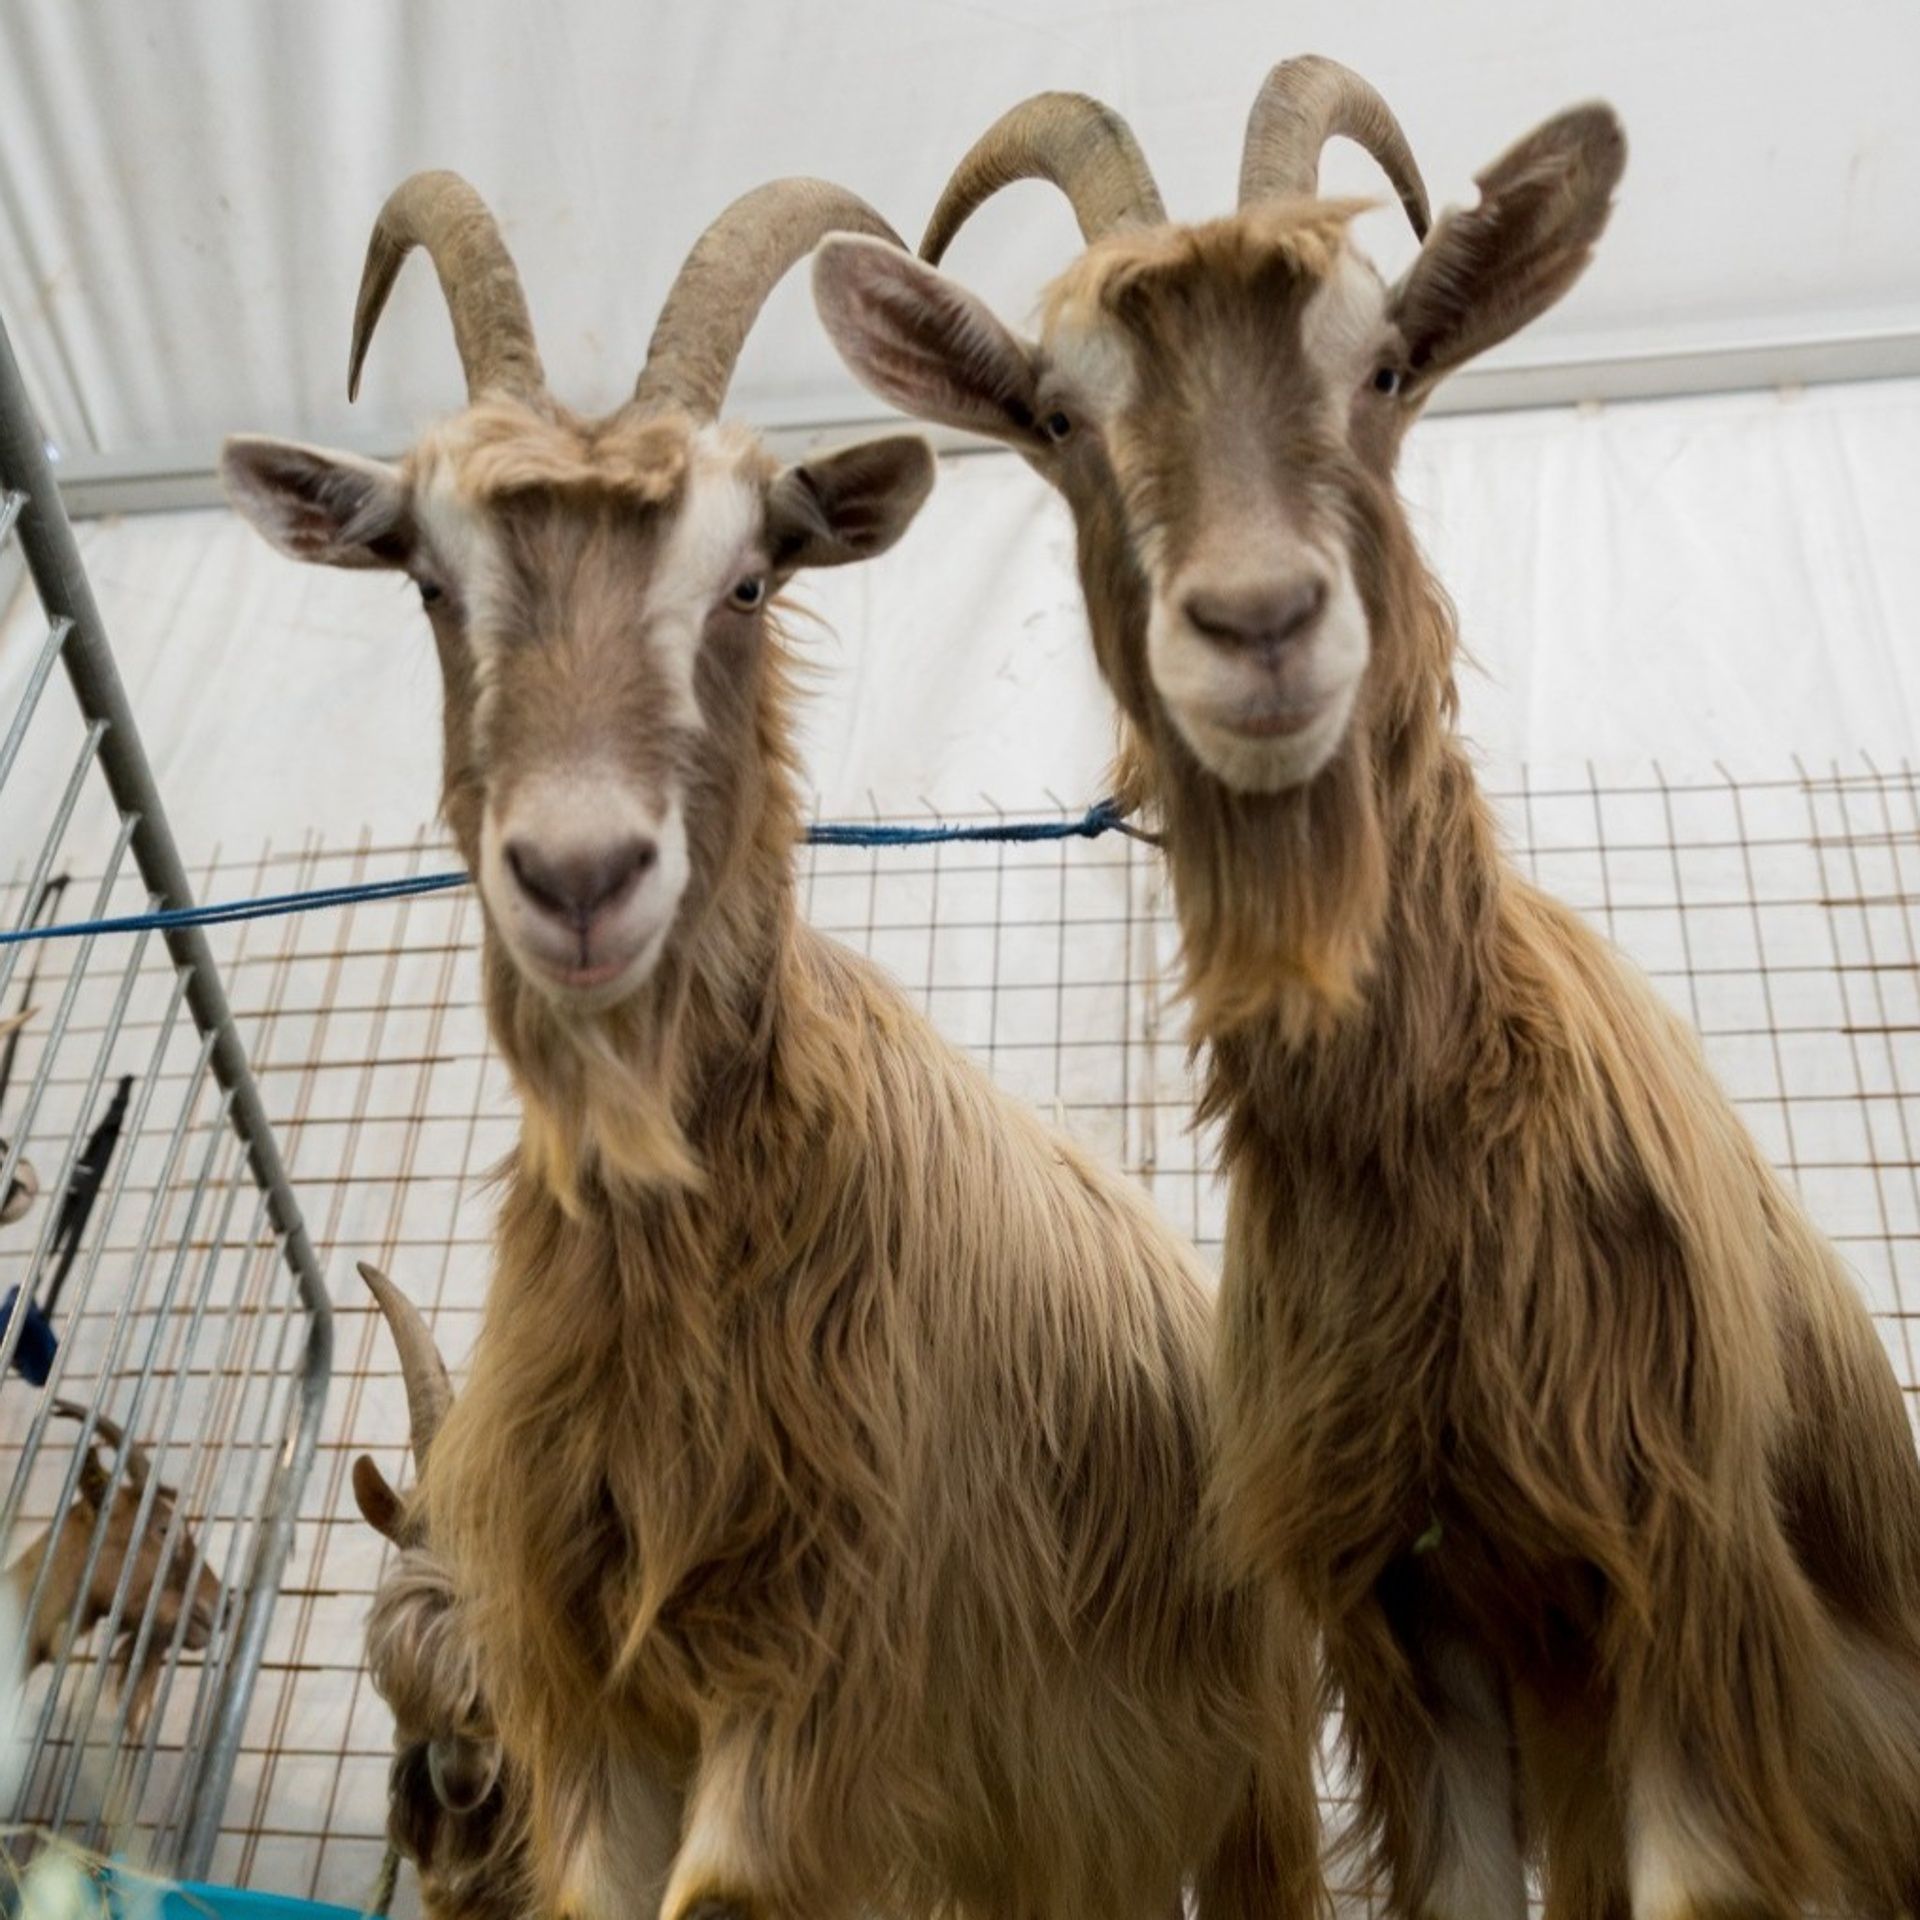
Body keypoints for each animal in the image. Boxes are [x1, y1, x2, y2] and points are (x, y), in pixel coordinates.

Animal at [811, 59, 1920, 1916]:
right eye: (1060, 418)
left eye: (1385, 365)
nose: (1259, 623)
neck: (1438, 1159)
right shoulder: (1416, 1619)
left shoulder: (1687, 1603)